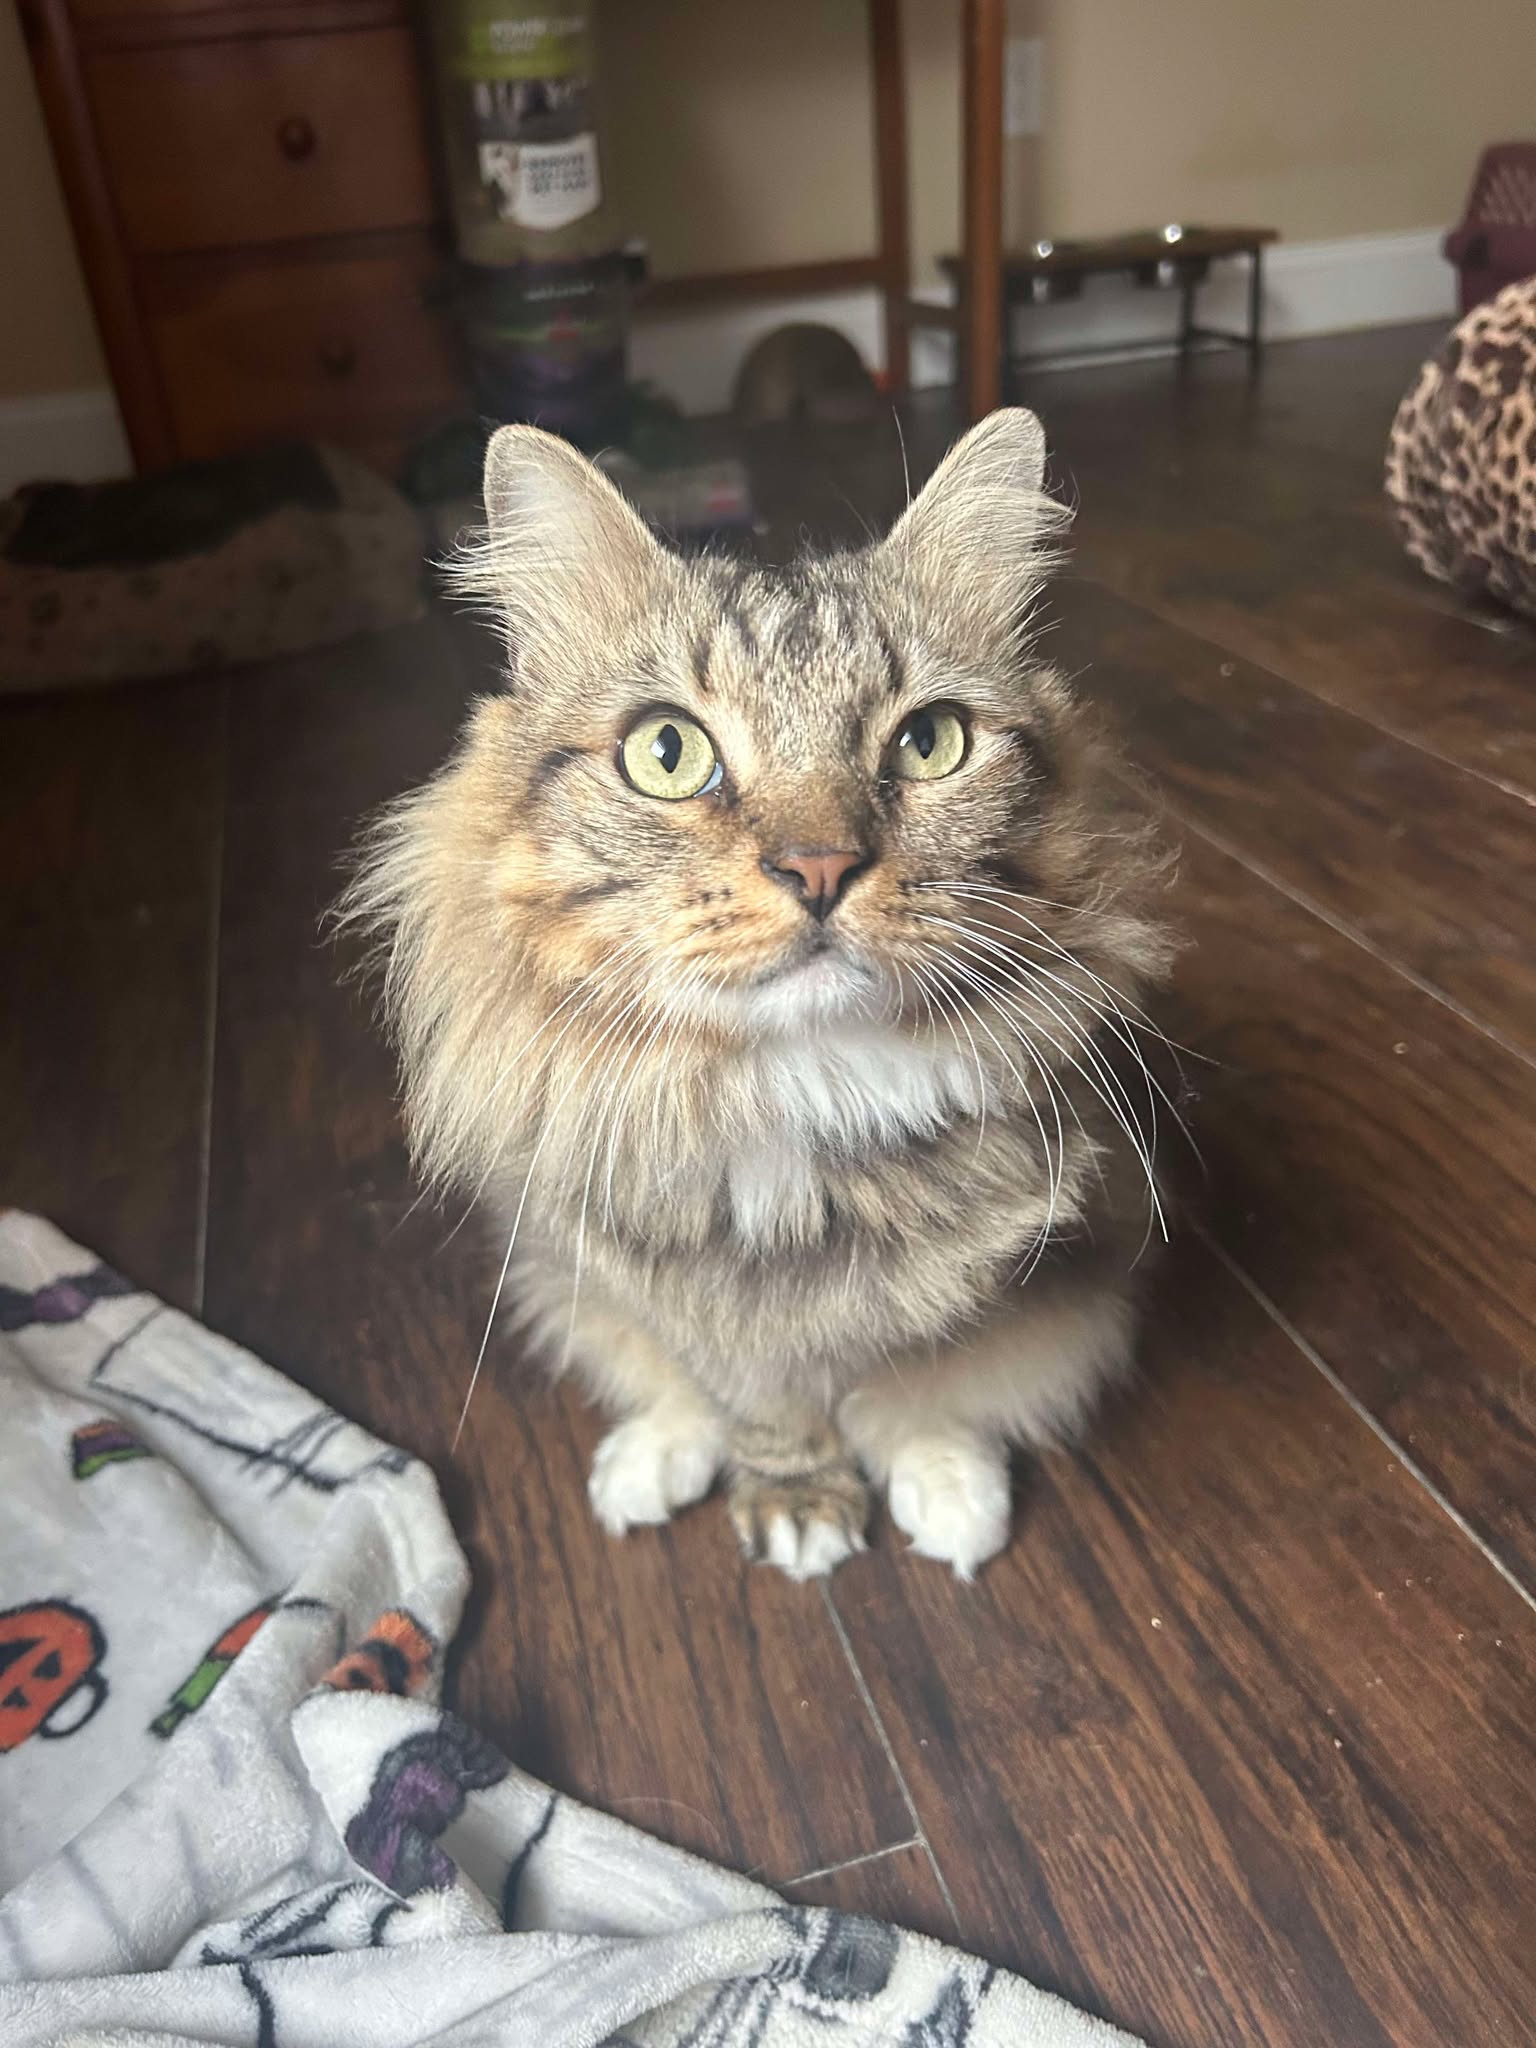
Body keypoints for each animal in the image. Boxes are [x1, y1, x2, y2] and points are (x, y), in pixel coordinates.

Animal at [347, 407, 1176, 1582]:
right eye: (666, 751)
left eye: (930, 742)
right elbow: (751, 1397)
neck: (800, 1098)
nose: (819, 866)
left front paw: (935, 1469)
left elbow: (917, 1371)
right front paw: (791, 1492)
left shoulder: (1007, 1265)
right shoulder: (647, 1276)